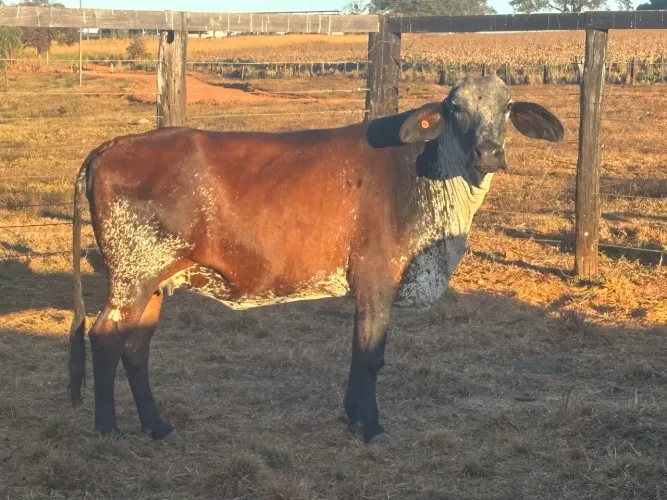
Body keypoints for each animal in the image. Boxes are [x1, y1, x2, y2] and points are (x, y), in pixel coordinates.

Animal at [68, 75, 563, 444]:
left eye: (506, 108)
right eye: (456, 109)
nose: (489, 152)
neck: (426, 175)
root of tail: (112, 146)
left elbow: (357, 352)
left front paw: (353, 416)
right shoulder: (378, 278)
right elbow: (372, 356)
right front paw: (372, 428)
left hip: (155, 281)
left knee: (136, 347)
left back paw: (158, 426)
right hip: (133, 275)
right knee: (106, 337)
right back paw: (108, 430)